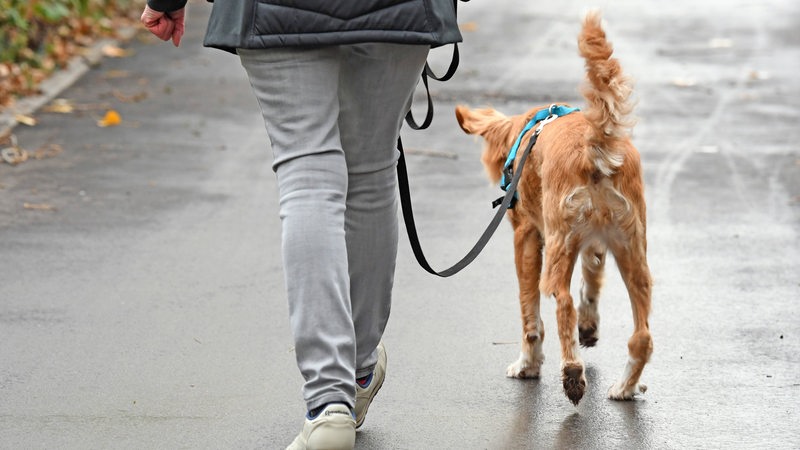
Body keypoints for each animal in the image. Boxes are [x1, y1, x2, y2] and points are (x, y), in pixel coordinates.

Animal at [456, 10, 648, 404]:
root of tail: (594, 143)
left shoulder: (526, 236)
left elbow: (529, 311)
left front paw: (528, 364)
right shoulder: (594, 244)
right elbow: (592, 281)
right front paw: (589, 326)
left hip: (560, 246)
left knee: (562, 303)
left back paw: (572, 372)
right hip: (633, 254)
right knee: (642, 337)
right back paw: (625, 387)